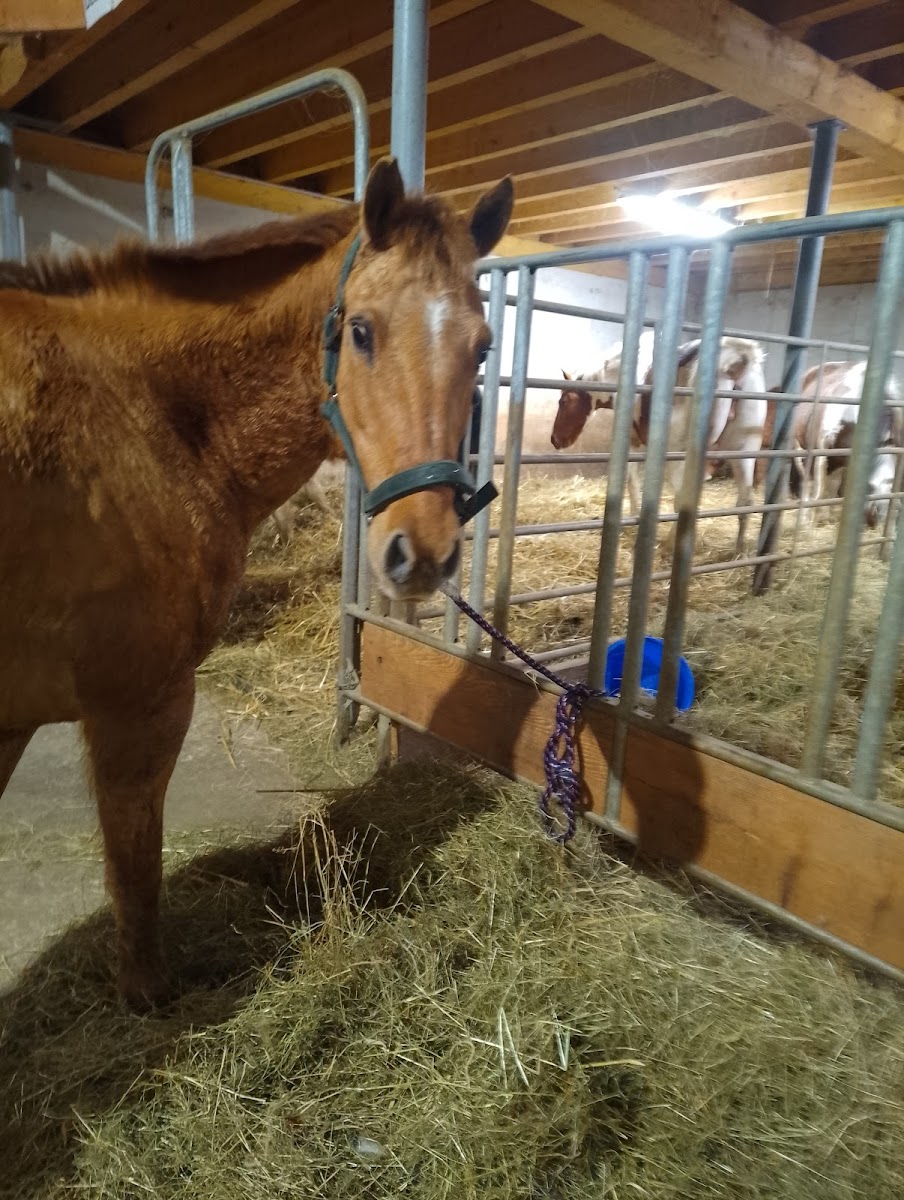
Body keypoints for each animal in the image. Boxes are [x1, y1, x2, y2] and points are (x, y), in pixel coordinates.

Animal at [0, 157, 513, 1007]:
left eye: (482, 347)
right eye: (362, 330)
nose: (424, 554)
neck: (140, 414)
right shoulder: (138, 702)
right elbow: (134, 856)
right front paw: (148, 992)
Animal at [553, 334, 767, 555]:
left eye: (563, 401)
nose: (555, 440)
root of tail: (734, 362)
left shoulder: (633, 442)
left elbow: (631, 481)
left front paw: (633, 517)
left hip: (682, 457)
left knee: (684, 500)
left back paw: (670, 545)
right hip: (743, 452)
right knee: (745, 502)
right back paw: (739, 552)